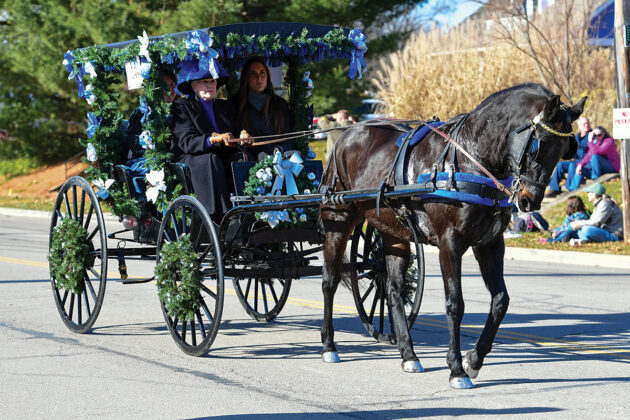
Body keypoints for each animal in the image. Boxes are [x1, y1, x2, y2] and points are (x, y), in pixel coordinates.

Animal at [320, 83, 588, 388]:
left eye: (564, 150)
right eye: (537, 146)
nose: (529, 201)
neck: (473, 158)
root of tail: (345, 136)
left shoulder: (489, 244)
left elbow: (500, 301)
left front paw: (474, 359)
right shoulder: (450, 244)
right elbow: (455, 304)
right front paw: (457, 368)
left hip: (393, 233)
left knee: (393, 290)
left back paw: (408, 354)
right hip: (338, 221)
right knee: (329, 281)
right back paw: (329, 346)